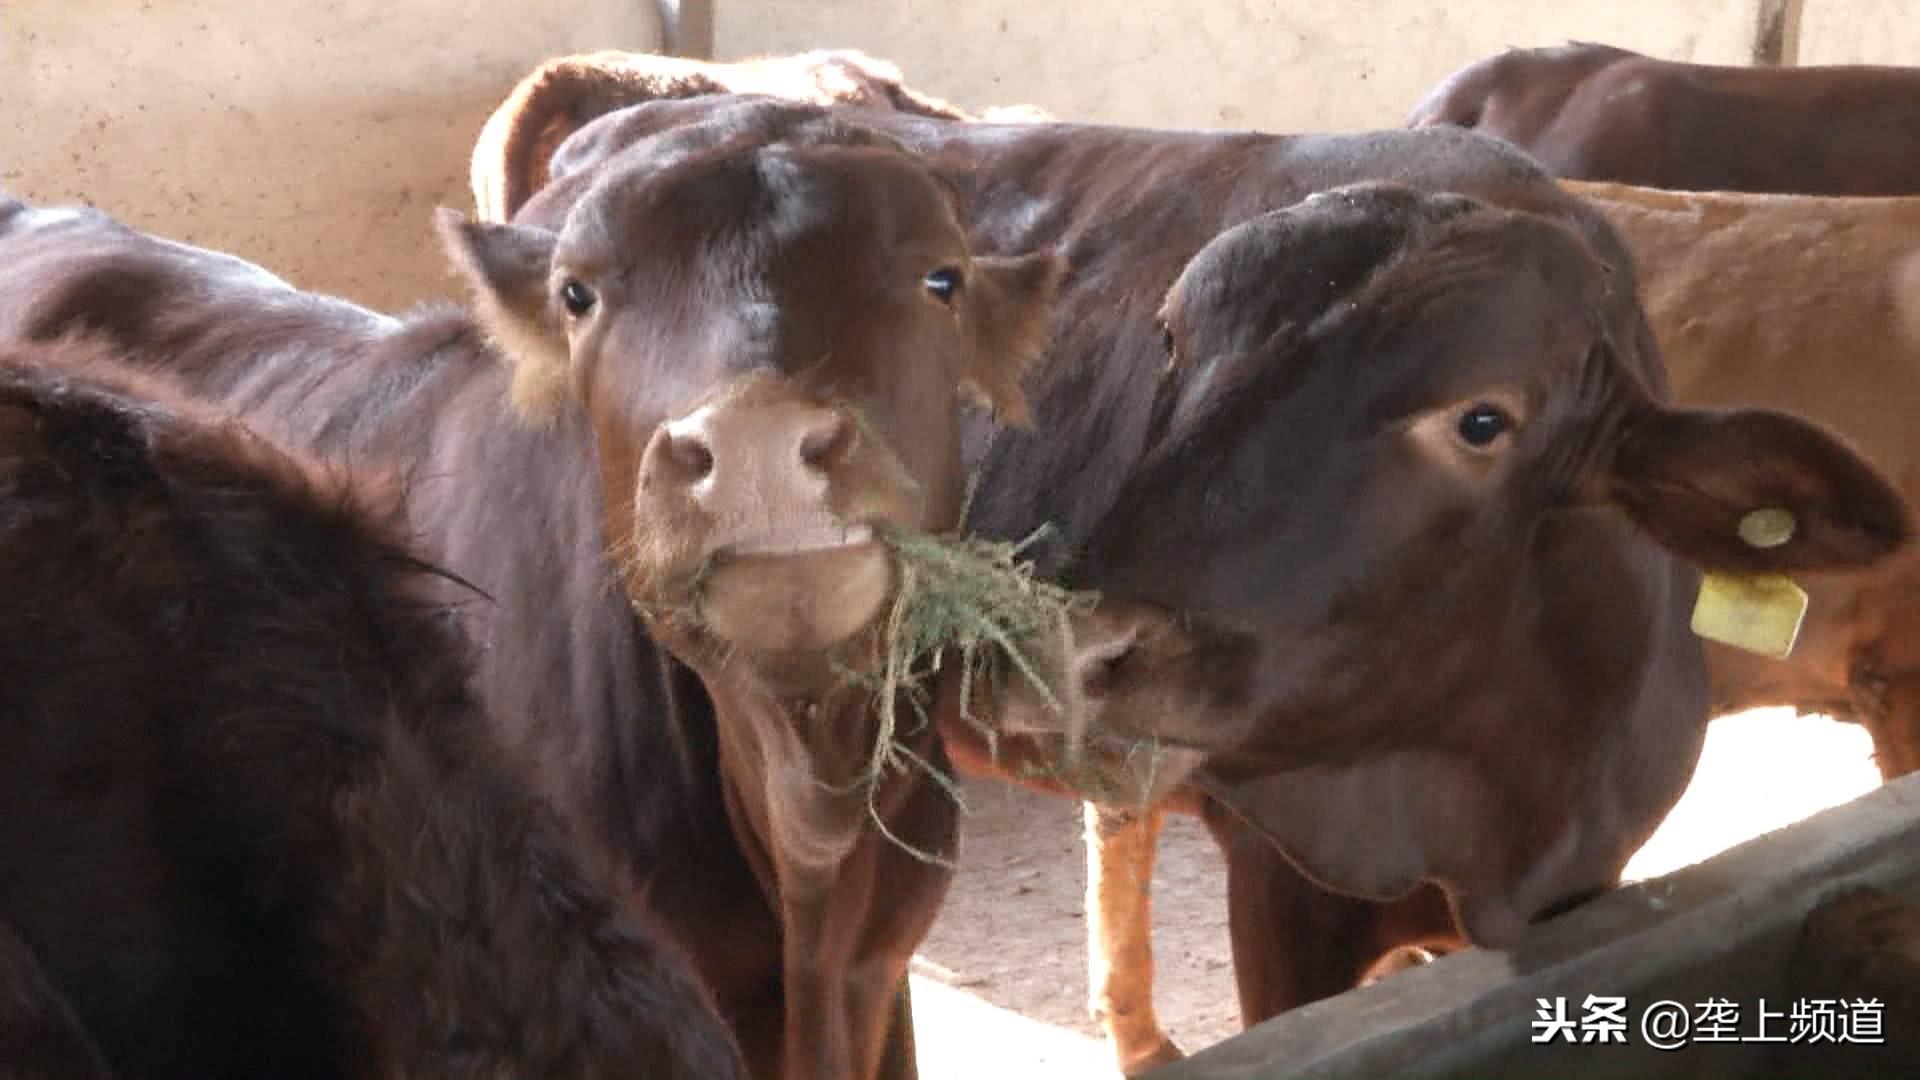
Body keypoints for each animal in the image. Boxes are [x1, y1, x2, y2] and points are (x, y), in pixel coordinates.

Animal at [499, 82, 1920, 1068]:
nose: (1063, 654)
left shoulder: (1600, 874)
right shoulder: (1283, 892)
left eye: (1483, 419)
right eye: (1175, 345)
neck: (1491, 790)